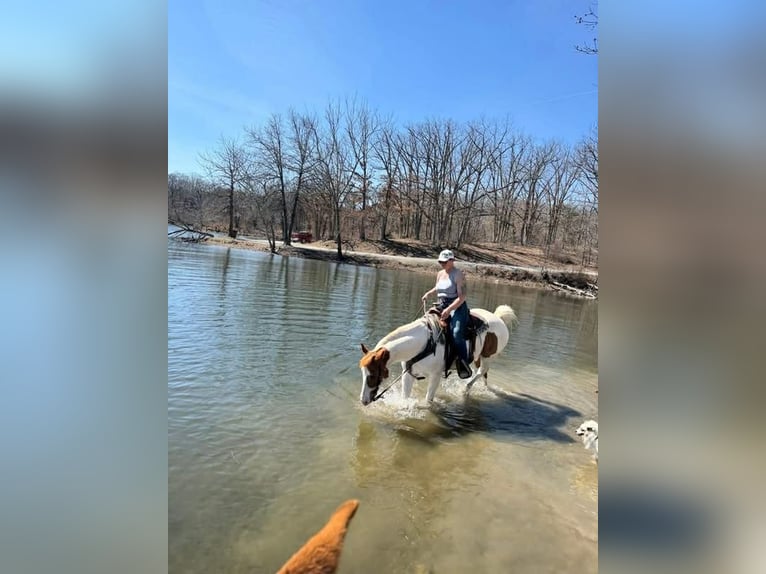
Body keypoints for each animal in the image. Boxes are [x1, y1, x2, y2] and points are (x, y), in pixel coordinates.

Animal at [358, 305, 517, 406]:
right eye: (363, 374)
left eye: (373, 374)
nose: (364, 401)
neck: (425, 343)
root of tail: (498, 318)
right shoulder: (408, 374)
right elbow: (405, 398)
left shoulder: (435, 375)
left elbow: (428, 400)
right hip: (478, 356)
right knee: (483, 373)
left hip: (487, 356)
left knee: (482, 371)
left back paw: (465, 389)